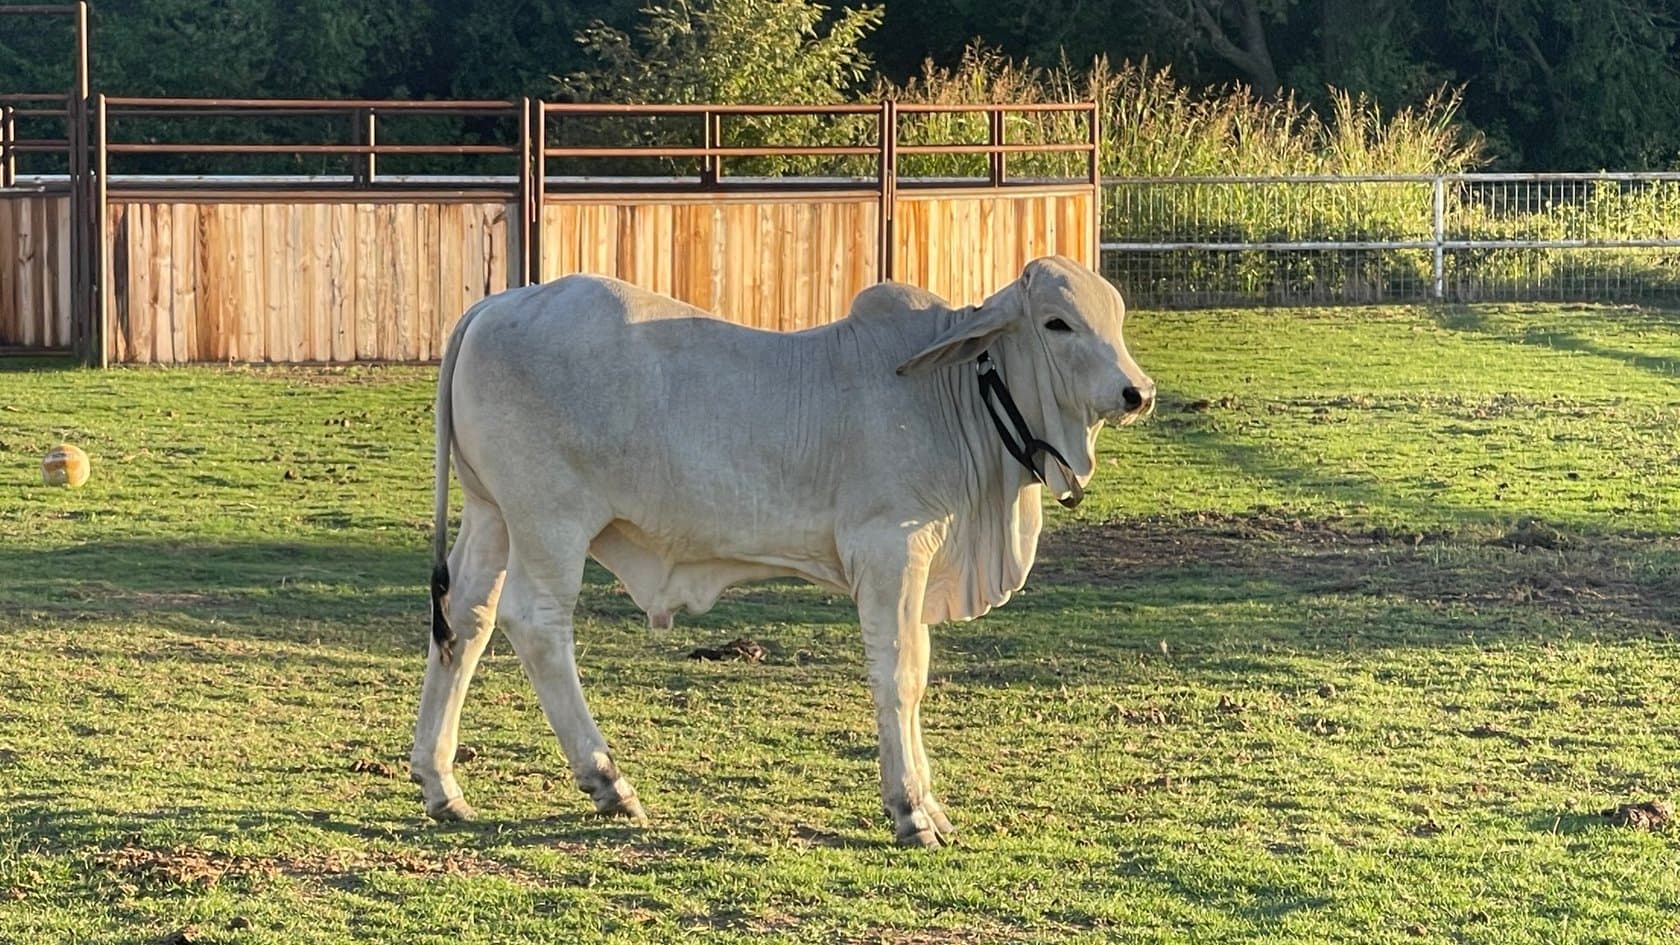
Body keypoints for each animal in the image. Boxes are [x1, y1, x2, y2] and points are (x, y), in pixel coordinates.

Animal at [410, 256, 1155, 847]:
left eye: (1114, 316)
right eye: (1057, 323)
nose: (1137, 392)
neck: (954, 397)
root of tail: (494, 304)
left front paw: (925, 804)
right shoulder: (890, 551)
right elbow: (901, 676)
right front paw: (913, 810)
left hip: (492, 516)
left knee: (464, 621)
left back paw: (441, 783)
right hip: (549, 521)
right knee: (536, 626)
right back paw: (607, 781)